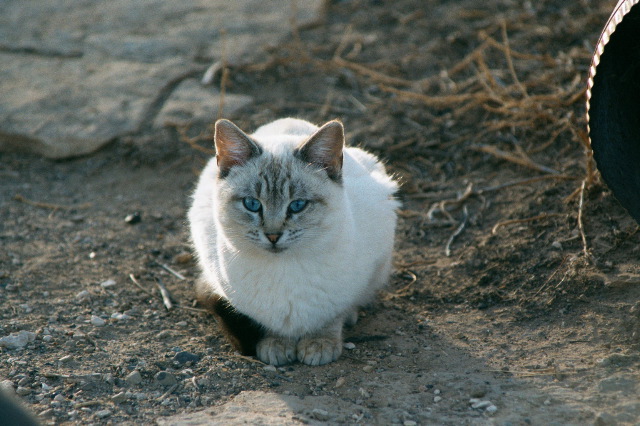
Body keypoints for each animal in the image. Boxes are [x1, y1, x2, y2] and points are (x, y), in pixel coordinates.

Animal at [188, 117, 400, 366]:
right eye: (252, 204)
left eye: (297, 205)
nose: (273, 236)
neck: (285, 269)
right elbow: (272, 324)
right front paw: (277, 344)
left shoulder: (350, 288)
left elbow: (331, 317)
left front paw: (320, 343)